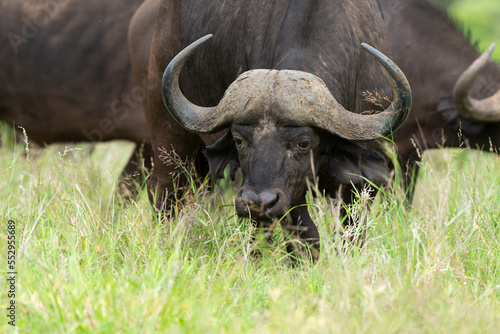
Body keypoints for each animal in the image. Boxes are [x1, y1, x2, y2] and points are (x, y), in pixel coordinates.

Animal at [132, 0, 410, 258]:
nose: (256, 202)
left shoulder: (362, 184)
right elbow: (305, 236)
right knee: (165, 193)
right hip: (168, 133)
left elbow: (351, 231)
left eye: (303, 143)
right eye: (239, 140)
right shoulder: (287, 196)